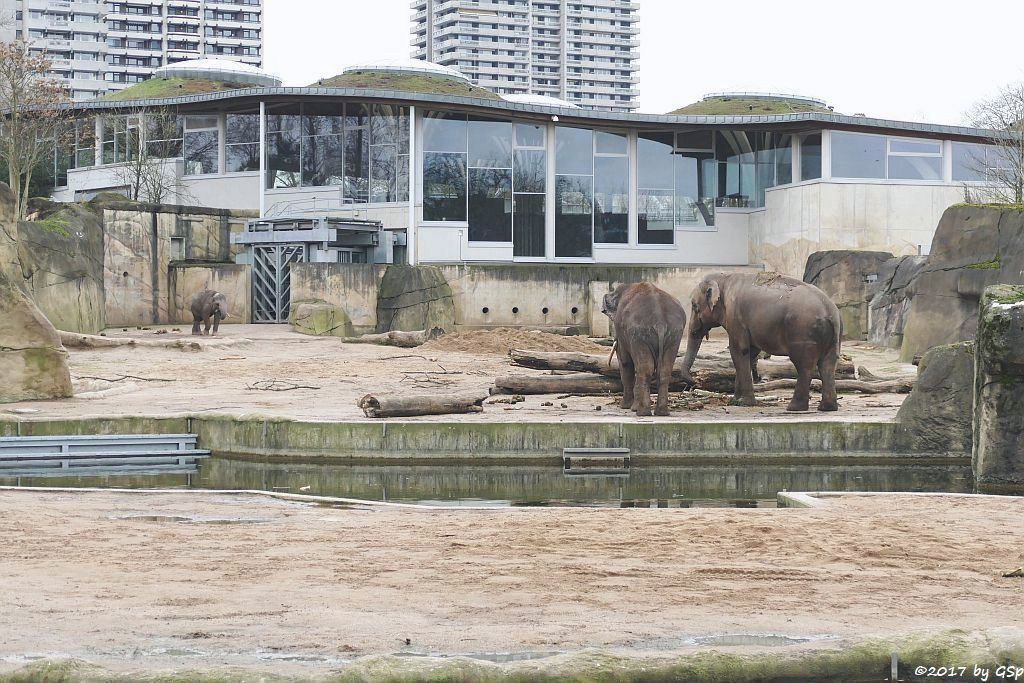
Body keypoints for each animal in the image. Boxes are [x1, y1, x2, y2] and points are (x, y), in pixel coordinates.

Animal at [598, 282, 688, 417]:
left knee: (645, 369)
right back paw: (662, 413)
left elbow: (625, 362)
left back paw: (642, 413)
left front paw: (625, 407)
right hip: (675, 334)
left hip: (639, 334)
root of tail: (660, 321)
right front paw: (632, 407)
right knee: (664, 370)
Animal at [679, 272, 839, 411]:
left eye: (694, 306)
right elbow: (750, 353)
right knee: (828, 365)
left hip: (802, 331)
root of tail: (828, 311)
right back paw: (827, 407)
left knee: (805, 366)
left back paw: (794, 408)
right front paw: (736, 401)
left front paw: (745, 403)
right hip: (833, 336)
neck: (724, 276)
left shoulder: (736, 318)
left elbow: (739, 350)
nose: (695, 381)